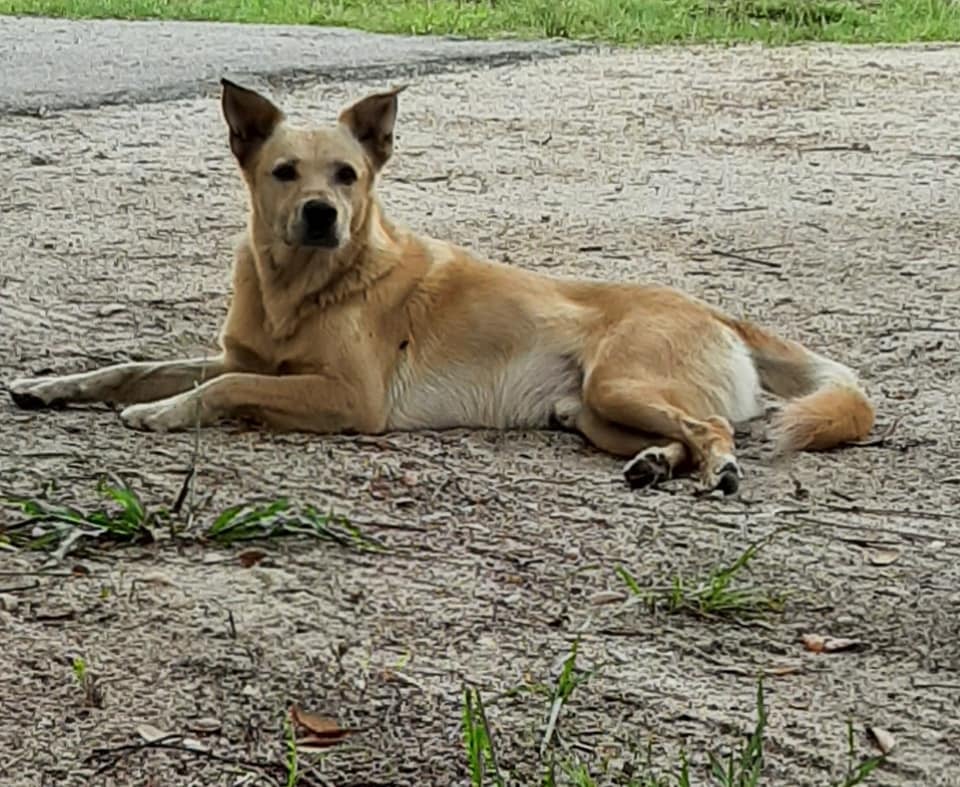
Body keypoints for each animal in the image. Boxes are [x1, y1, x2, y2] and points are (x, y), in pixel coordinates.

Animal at [9, 81, 876, 498]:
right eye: (285, 172)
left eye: (347, 175)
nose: (321, 214)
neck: (305, 287)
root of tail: (716, 309)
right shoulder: (241, 356)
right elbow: (136, 364)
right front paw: (50, 387)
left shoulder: (347, 398)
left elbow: (219, 391)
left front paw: (159, 414)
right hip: (592, 412)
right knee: (684, 431)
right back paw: (658, 465)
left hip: (621, 383)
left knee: (715, 428)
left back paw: (719, 470)